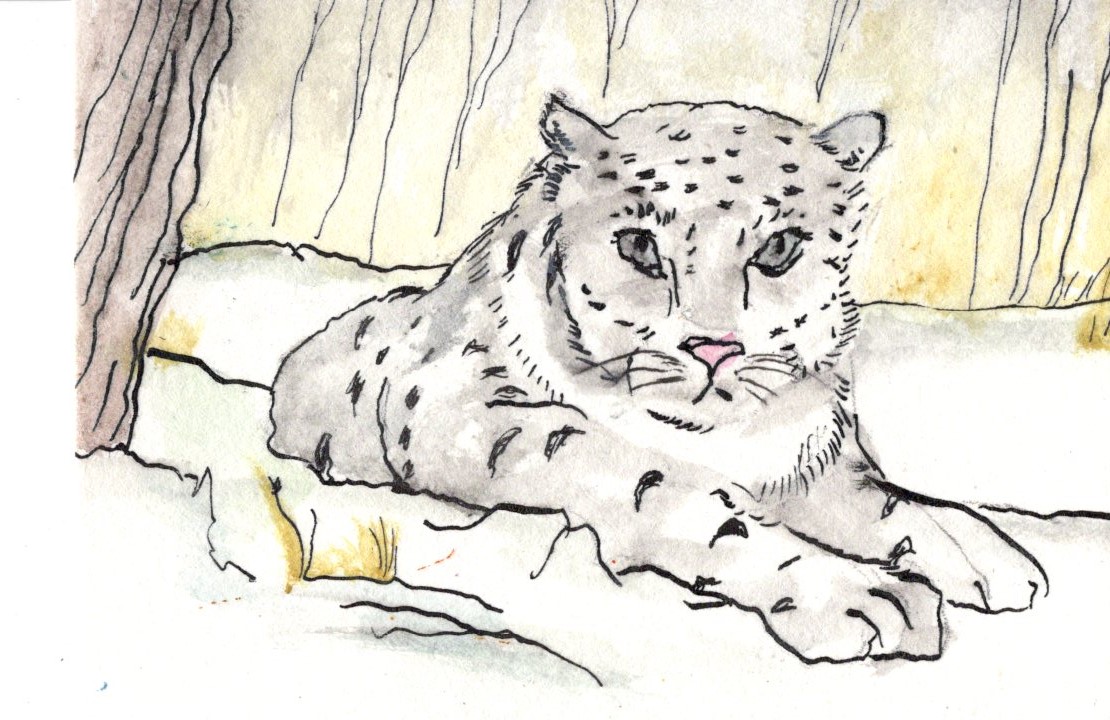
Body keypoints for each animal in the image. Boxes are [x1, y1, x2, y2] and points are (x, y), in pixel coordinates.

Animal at [268, 95, 1046, 663]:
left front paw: (984, 554)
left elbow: (884, 503)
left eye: (780, 247)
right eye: (639, 244)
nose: (715, 347)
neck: (724, 440)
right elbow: (678, 494)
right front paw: (863, 596)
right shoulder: (472, 412)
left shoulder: (805, 462)